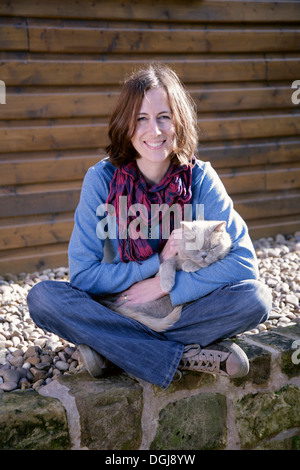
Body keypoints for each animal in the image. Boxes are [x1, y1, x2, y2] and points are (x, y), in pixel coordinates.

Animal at [101, 219, 232, 332]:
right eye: (195, 248)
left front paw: (189, 265)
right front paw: (166, 283)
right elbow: (168, 262)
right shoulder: (175, 257)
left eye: (213, 247)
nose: (204, 255)